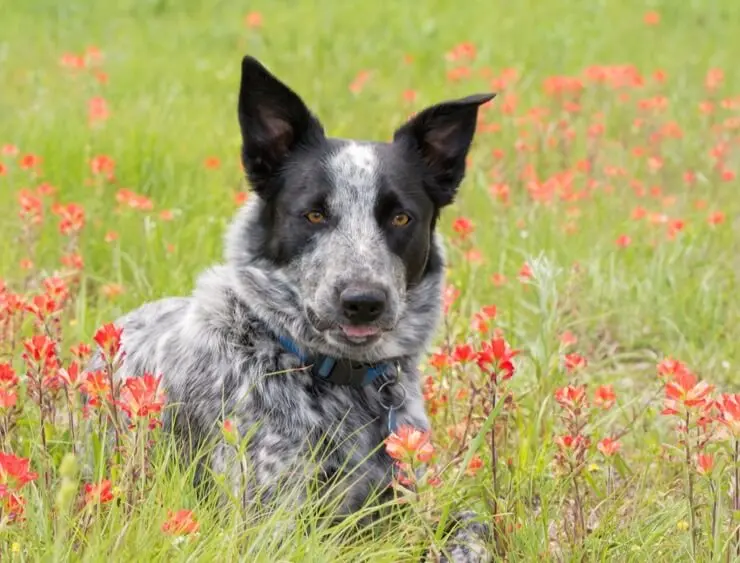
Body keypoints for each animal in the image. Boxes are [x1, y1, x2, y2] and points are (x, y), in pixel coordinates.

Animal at [97, 56, 492, 560]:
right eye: (314, 214)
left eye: (401, 217)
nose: (363, 302)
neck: (339, 380)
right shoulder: (271, 521)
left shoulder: (410, 494)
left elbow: (472, 523)